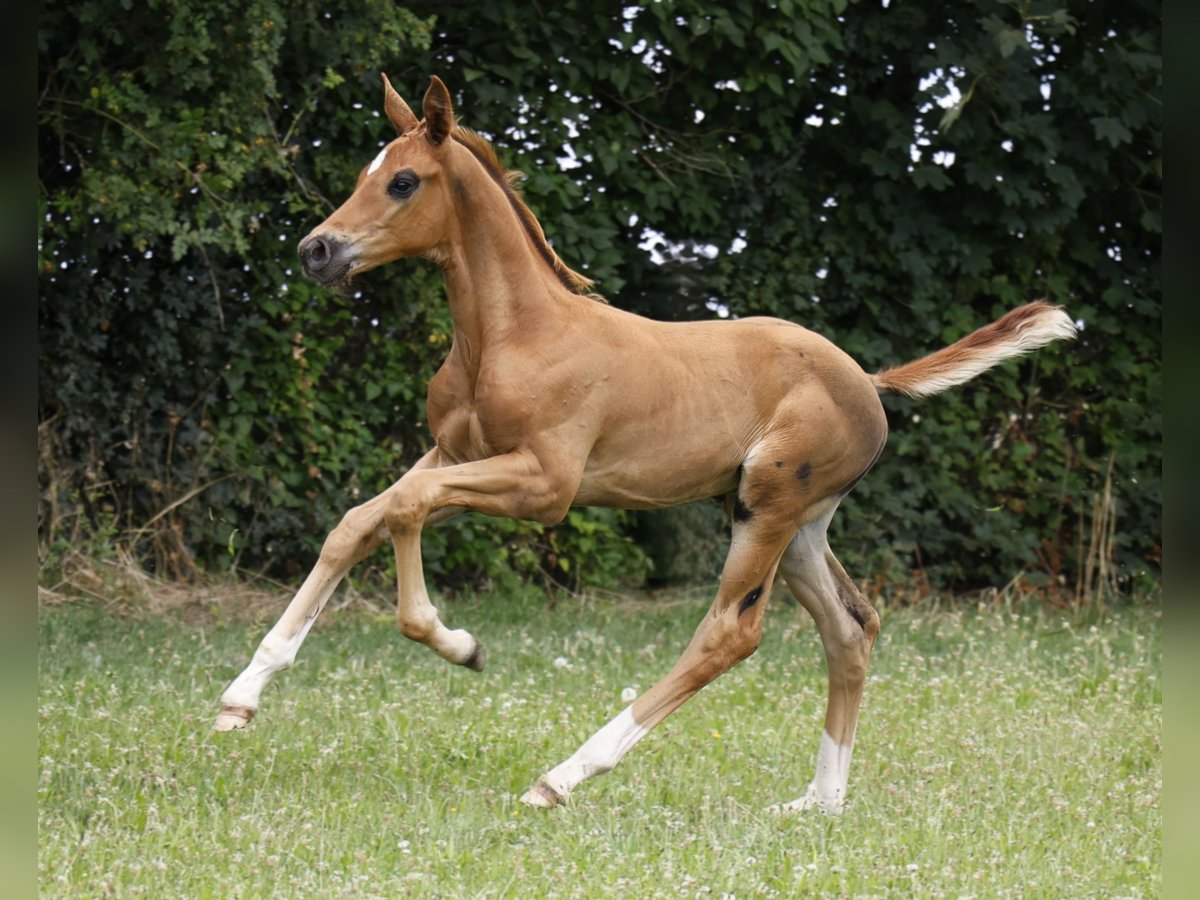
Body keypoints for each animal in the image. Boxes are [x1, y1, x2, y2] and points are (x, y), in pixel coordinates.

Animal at [216, 74, 1080, 816]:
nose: (316, 251)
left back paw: (563, 776)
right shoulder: (455, 455)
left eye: (402, 182)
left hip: (768, 507)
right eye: (366, 173)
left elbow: (405, 509)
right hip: (793, 520)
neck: (510, 335)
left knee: (731, 633)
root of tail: (868, 381)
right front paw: (240, 698)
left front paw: (457, 644)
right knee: (851, 628)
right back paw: (819, 801)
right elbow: (361, 519)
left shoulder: (545, 486)